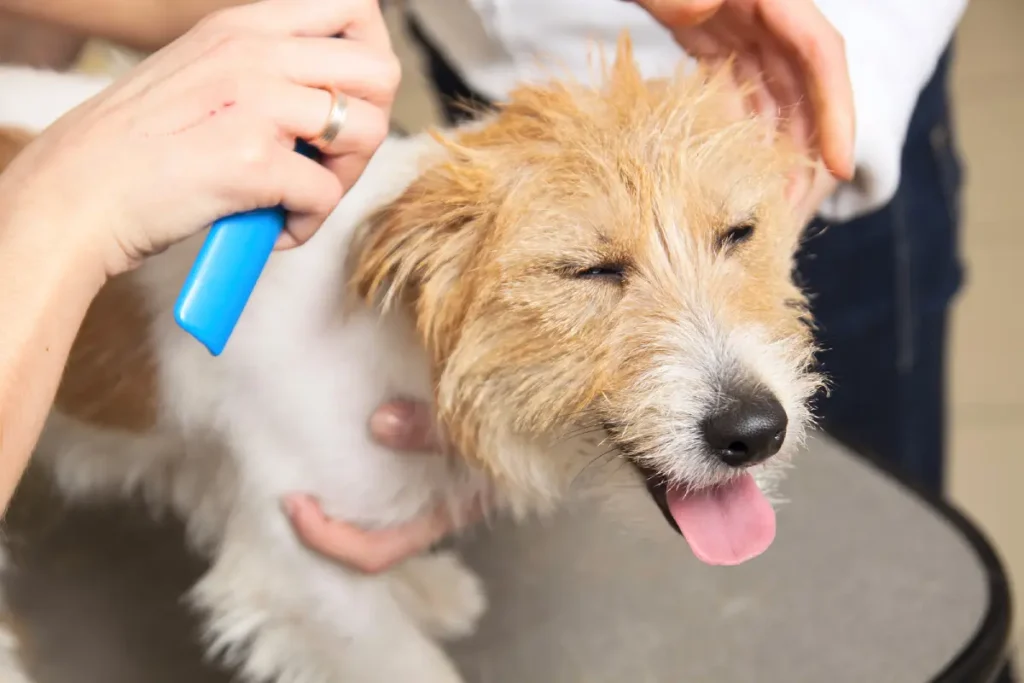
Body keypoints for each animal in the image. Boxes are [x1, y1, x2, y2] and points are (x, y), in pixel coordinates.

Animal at [0, 37, 815, 683]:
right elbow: (397, 656)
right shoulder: (304, 566)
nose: (755, 430)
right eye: (589, 270)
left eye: (738, 233)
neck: (409, 341)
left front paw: (418, 584)